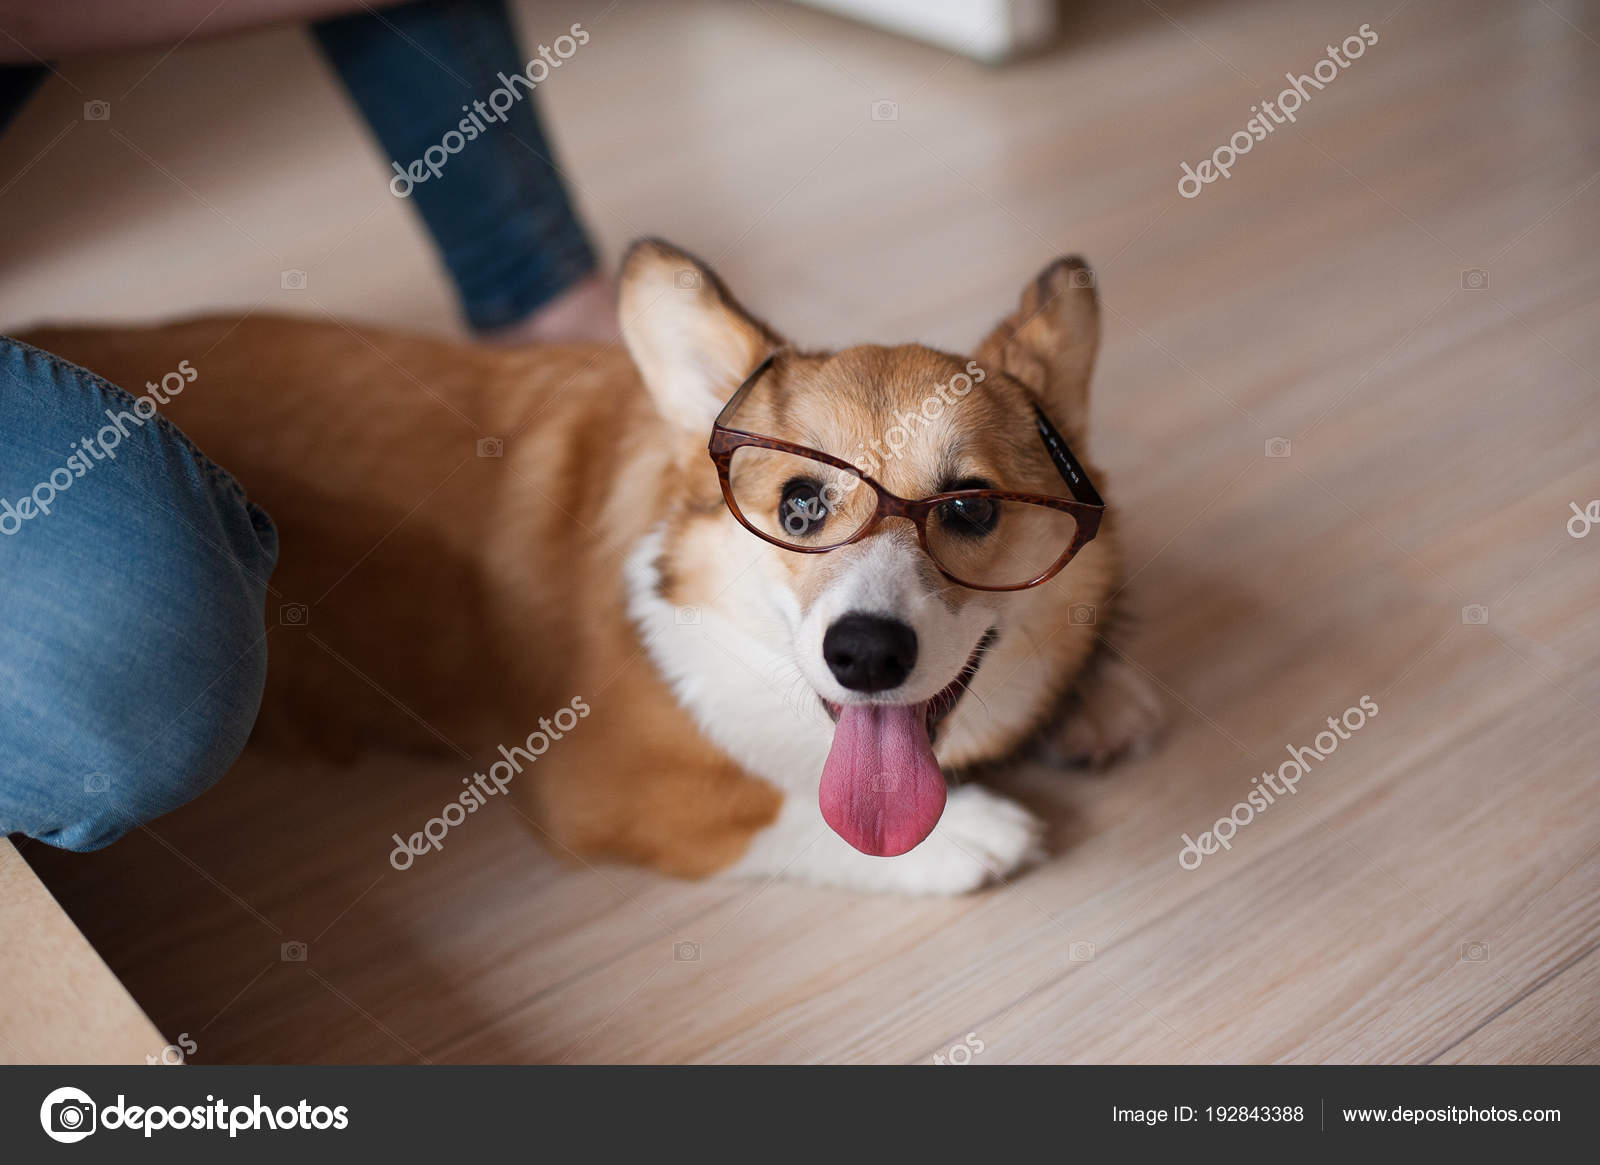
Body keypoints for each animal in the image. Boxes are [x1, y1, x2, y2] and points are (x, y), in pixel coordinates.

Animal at [25, 236, 1164, 889]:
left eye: (970, 506)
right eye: (799, 505)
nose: (866, 656)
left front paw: (1096, 691)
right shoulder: (600, 785)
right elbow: (772, 808)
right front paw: (965, 836)